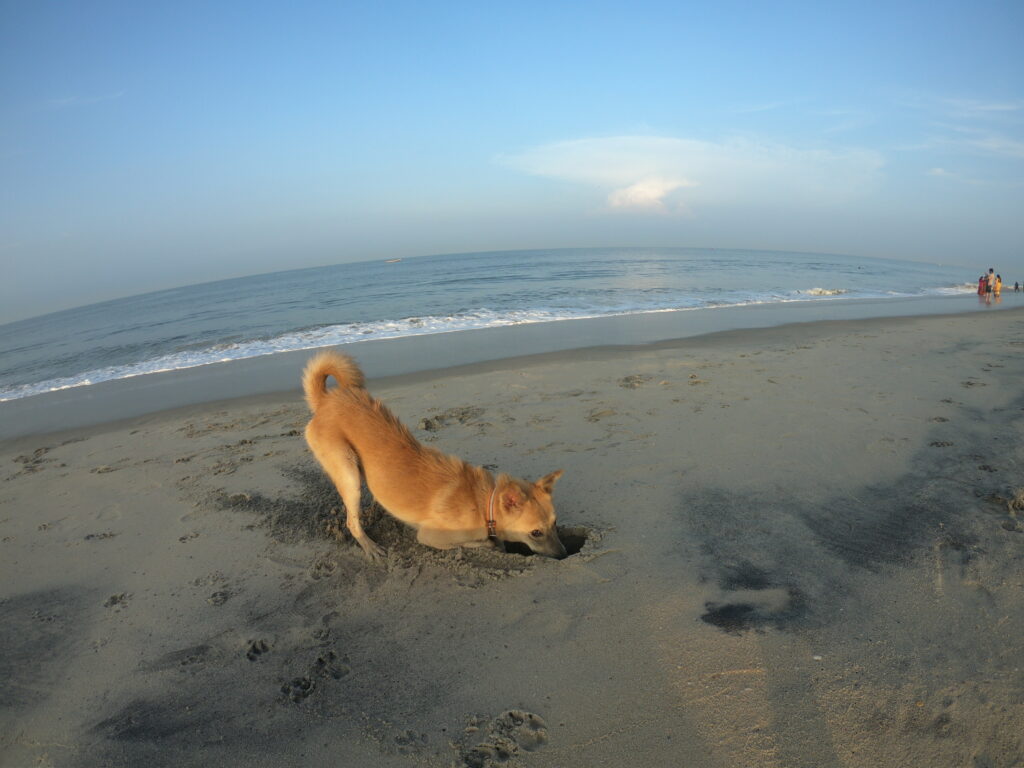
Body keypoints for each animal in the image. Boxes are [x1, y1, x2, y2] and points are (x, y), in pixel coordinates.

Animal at [299, 352, 569, 561]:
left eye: (555, 524)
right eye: (536, 532)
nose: (564, 554)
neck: (484, 504)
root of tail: (326, 400)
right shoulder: (431, 536)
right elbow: (478, 542)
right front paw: (492, 545)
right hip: (349, 475)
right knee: (352, 522)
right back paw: (370, 546)